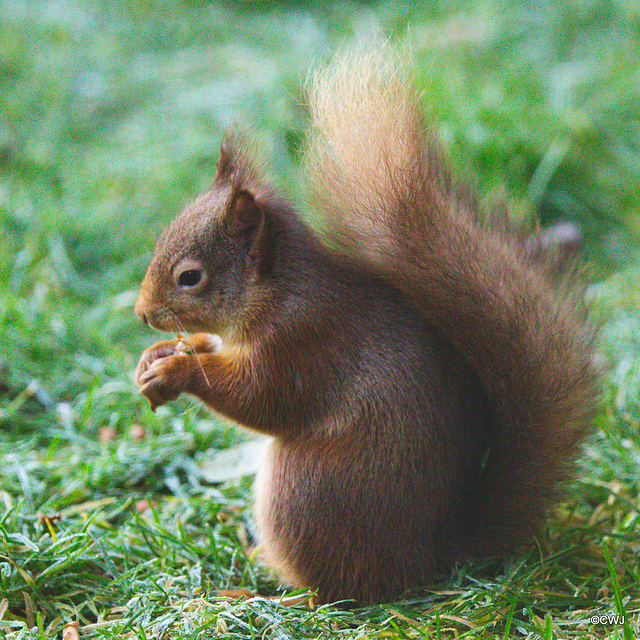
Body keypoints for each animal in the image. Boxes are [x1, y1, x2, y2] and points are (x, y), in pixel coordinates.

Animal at [135, 50, 600, 604]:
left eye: (190, 277)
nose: (141, 313)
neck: (277, 292)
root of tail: (433, 558)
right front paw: (159, 356)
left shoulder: (305, 341)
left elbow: (262, 397)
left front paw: (178, 373)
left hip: (305, 490)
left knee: (340, 589)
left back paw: (277, 592)